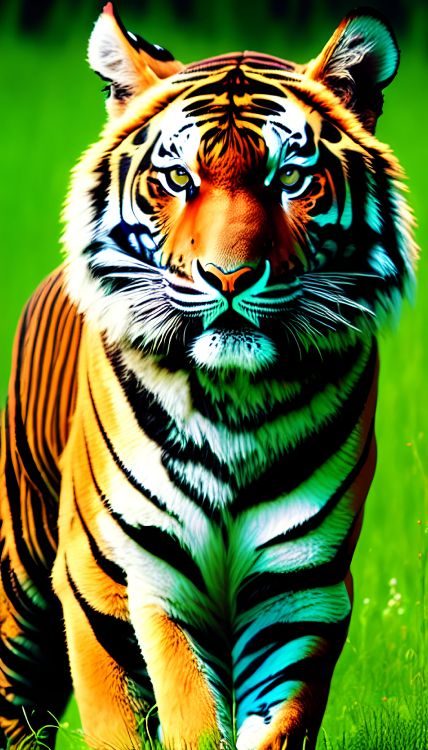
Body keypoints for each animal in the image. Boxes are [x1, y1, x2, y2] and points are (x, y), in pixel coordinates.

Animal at [0, 3, 417, 749]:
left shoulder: (298, 586)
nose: (228, 276)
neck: (232, 402)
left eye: (291, 180)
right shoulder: (139, 573)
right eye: (177, 180)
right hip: (27, 574)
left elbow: (278, 719)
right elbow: (183, 710)